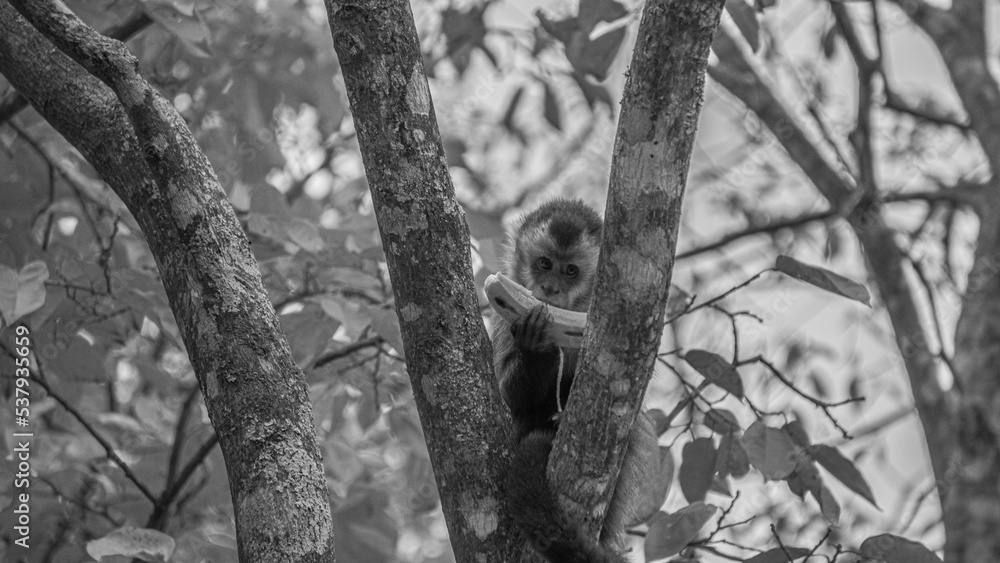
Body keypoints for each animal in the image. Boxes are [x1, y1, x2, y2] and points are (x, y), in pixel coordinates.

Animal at [490, 199, 662, 563]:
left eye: (570, 271)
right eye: (544, 264)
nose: (550, 288)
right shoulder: (503, 323)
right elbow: (511, 398)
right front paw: (535, 344)